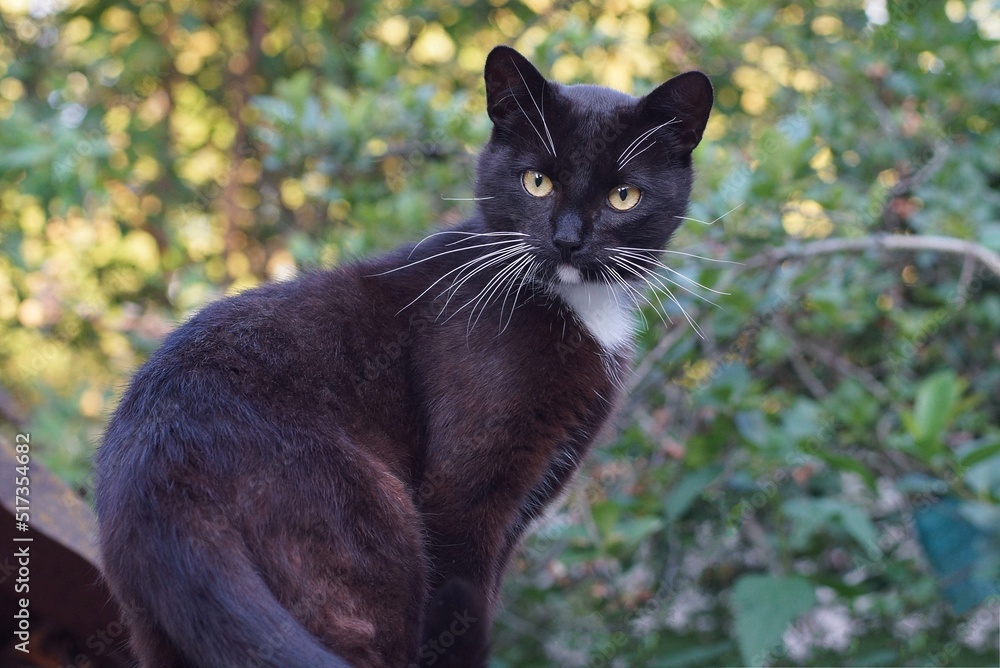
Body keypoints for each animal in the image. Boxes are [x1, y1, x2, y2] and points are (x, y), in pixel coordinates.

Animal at [95, 47, 712, 668]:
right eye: (536, 181)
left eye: (623, 196)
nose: (566, 240)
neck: (578, 307)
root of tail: (161, 472)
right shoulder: (461, 500)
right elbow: (462, 619)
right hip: (371, 538)